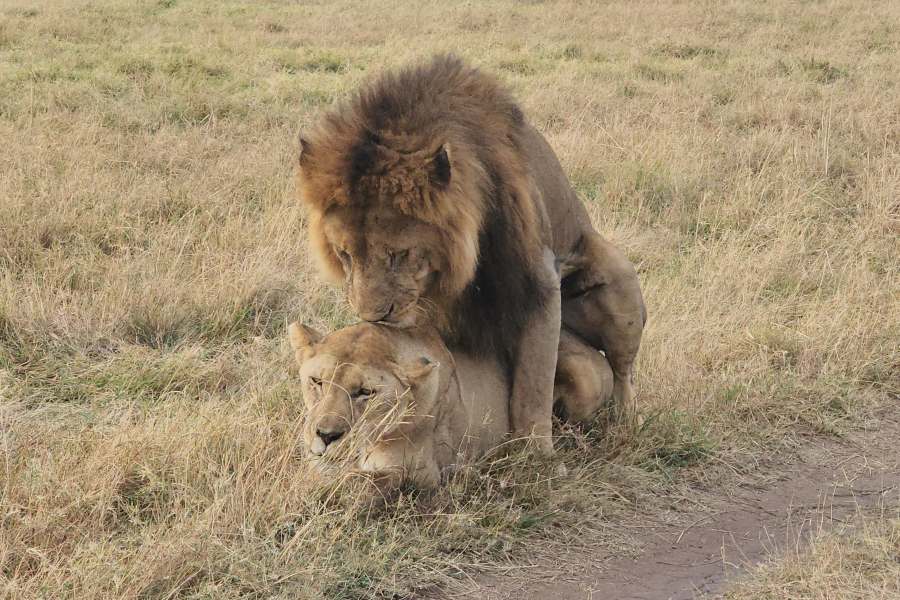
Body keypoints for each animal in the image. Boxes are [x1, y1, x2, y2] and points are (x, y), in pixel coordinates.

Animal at [298, 55, 644, 450]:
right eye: (345, 255)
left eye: (400, 253)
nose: (374, 317)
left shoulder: (538, 282)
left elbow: (533, 384)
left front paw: (534, 452)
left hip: (619, 284)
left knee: (622, 372)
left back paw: (627, 421)